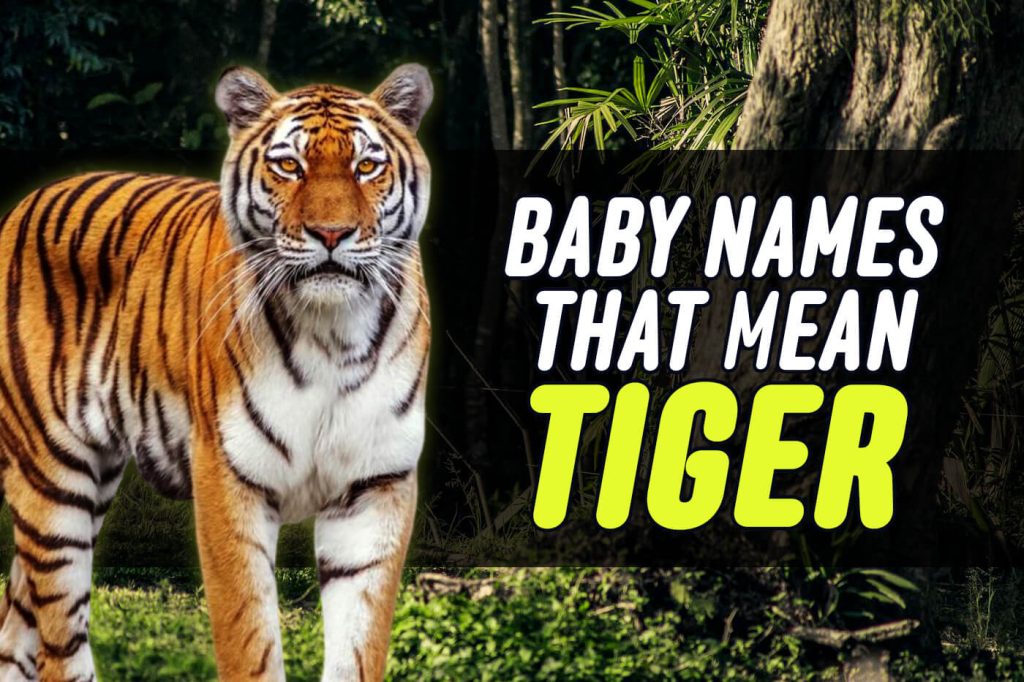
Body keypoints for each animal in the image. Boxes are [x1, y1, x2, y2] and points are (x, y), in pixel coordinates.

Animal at [0, 63, 432, 681]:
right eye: (288, 166)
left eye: (366, 166)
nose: (331, 234)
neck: (332, 333)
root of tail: (26, 203)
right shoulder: (229, 478)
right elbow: (249, 637)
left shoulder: (376, 485)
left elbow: (360, 643)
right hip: (53, 478)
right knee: (60, 635)